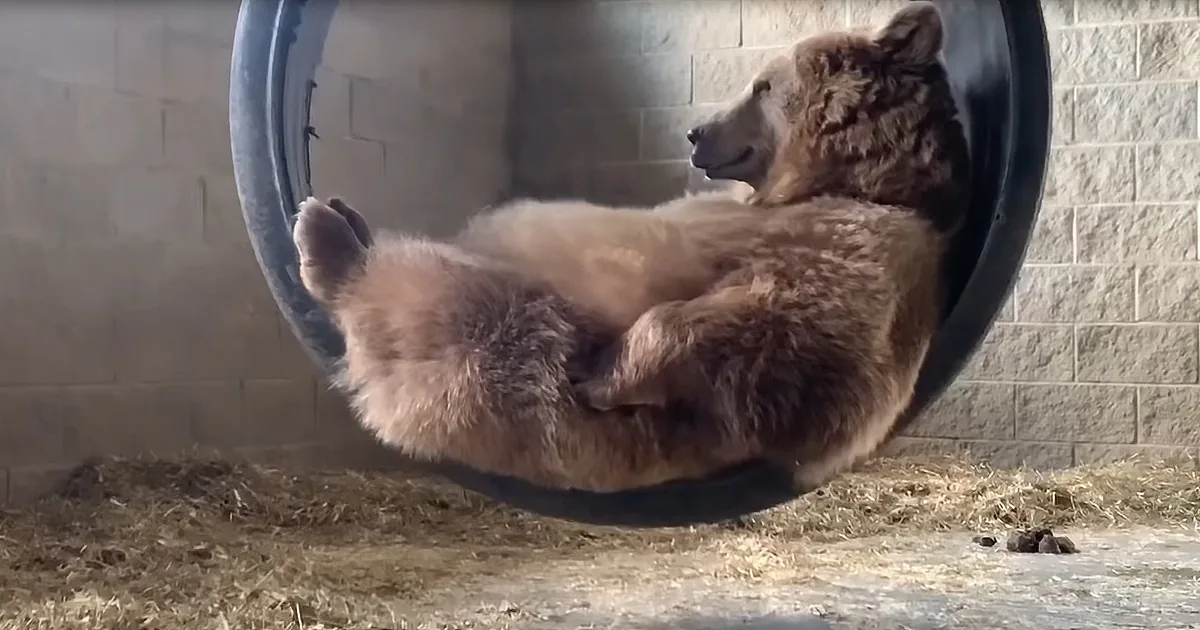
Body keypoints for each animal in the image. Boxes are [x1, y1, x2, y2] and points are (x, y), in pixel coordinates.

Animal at [291, 0, 971, 493]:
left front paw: (604, 373)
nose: (697, 131)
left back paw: (330, 237)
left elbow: (781, 334)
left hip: (514, 356)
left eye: (761, 84)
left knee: (442, 312)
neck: (851, 180)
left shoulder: (862, 259)